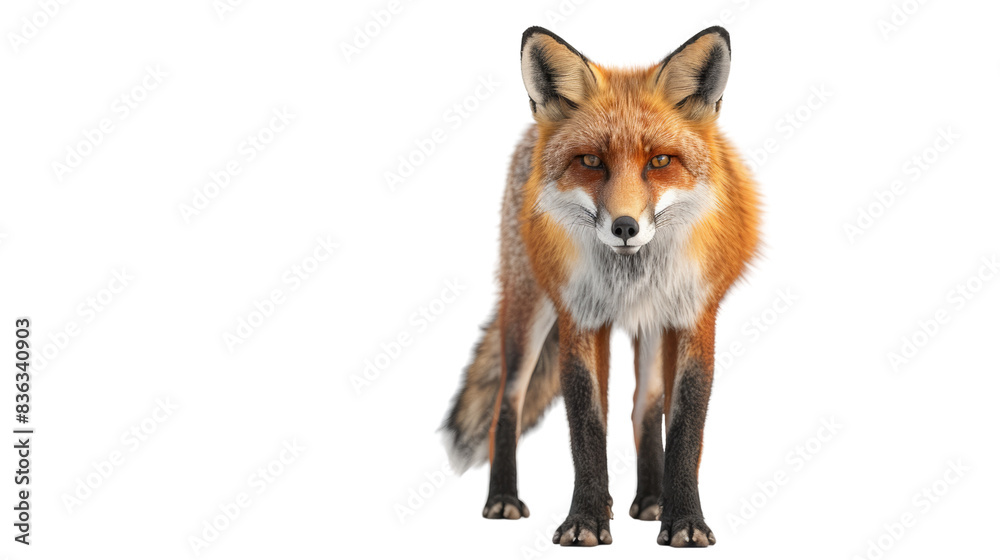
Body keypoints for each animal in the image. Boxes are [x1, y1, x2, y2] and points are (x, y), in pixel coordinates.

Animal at [441, 26, 760, 547]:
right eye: (591, 160)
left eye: (660, 161)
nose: (625, 227)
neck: (629, 277)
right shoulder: (579, 317)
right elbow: (587, 425)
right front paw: (586, 519)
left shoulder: (694, 317)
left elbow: (685, 426)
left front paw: (684, 520)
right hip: (529, 311)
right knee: (507, 402)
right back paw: (503, 497)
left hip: (651, 326)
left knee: (642, 407)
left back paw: (650, 500)